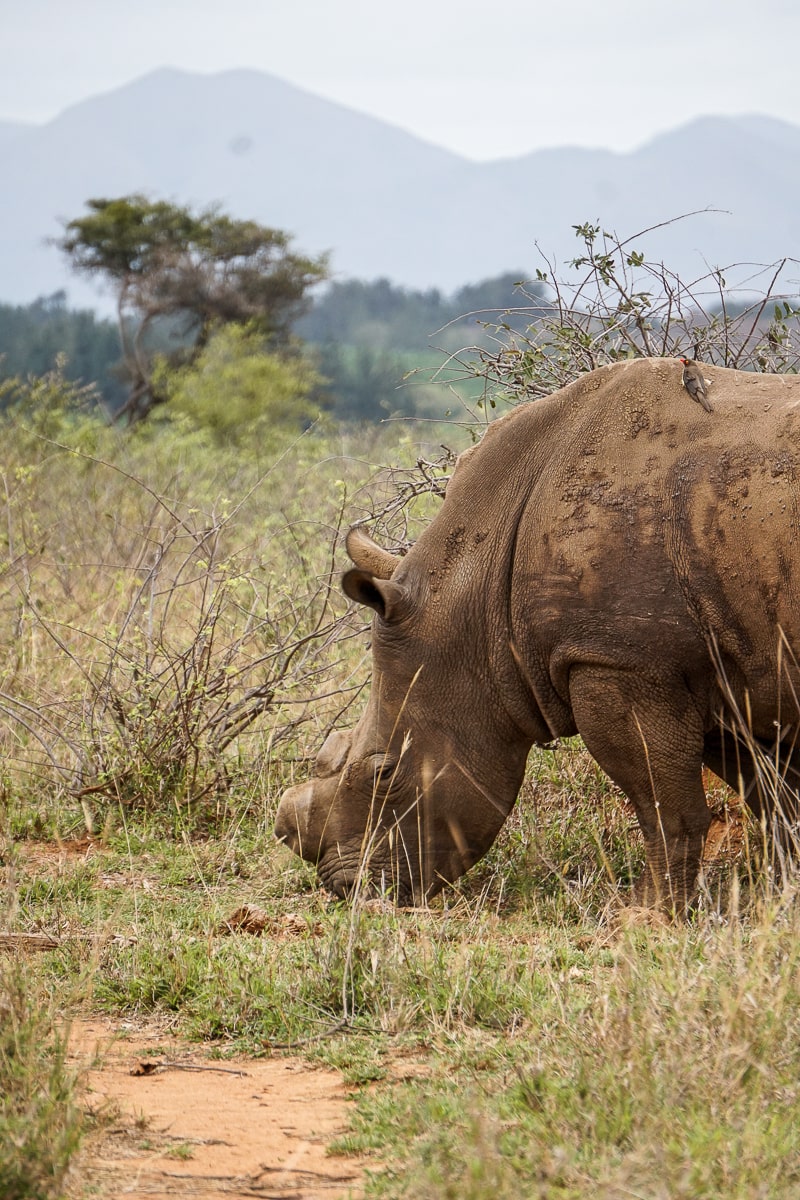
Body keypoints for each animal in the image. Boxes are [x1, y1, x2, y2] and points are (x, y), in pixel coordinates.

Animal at [275, 357, 800, 914]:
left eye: (384, 774)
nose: (348, 891)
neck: (472, 601)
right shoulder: (723, 667)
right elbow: (773, 796)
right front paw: (781, 896)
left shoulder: (620, 660)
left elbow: (664, 807)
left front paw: (642, 915)